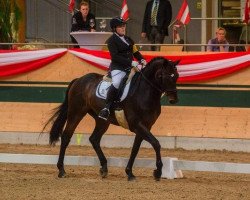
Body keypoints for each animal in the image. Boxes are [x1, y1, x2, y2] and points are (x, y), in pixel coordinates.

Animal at [45, 56, 180, 181]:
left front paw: (129, 172)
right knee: (66, 136)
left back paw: (104, 168)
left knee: (94, 139)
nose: (174, 100)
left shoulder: (146, 126)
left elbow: (135, 149)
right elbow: (156, 143)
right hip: (76, 113)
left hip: (102, 120)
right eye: (167, 76)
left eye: (177, 76)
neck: (144, 92)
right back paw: (61, 170)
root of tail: (78, 80)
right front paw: (158, 172)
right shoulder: (137, 124)